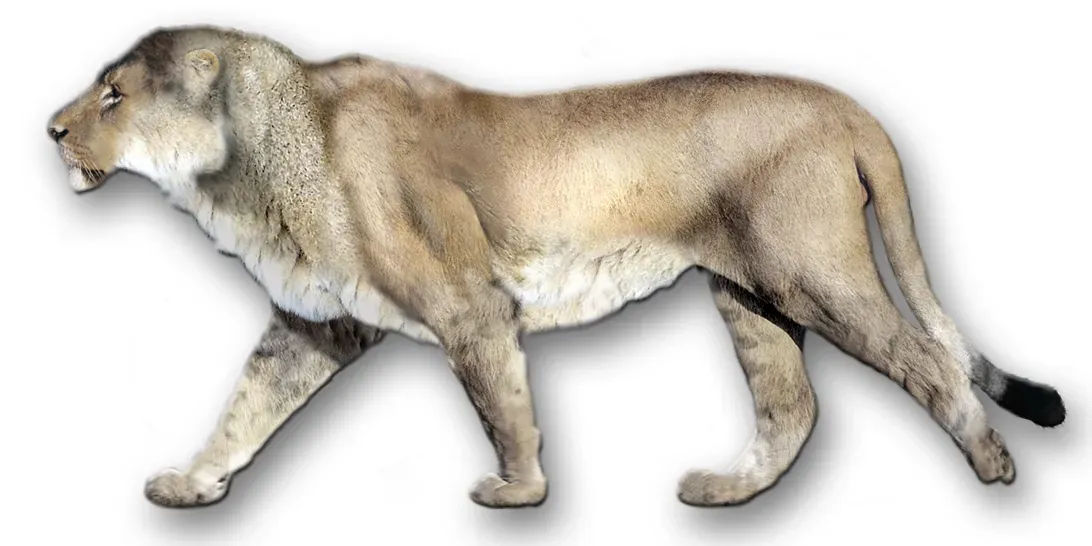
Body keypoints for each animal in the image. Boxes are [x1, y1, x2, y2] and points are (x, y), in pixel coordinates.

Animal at [47, 25, 1065, 509]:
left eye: (114, 95)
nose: (52, 129)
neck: (246, 172)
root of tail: (850, 106)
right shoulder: (319, 323)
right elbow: (245, 408)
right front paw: (192, 484)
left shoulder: (468, 306)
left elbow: (503, 405)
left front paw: (519, 493)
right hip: (750, 296)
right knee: (793, 406)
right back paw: (725, 494)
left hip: (814, 274)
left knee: (926, 361)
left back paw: (993, 469)